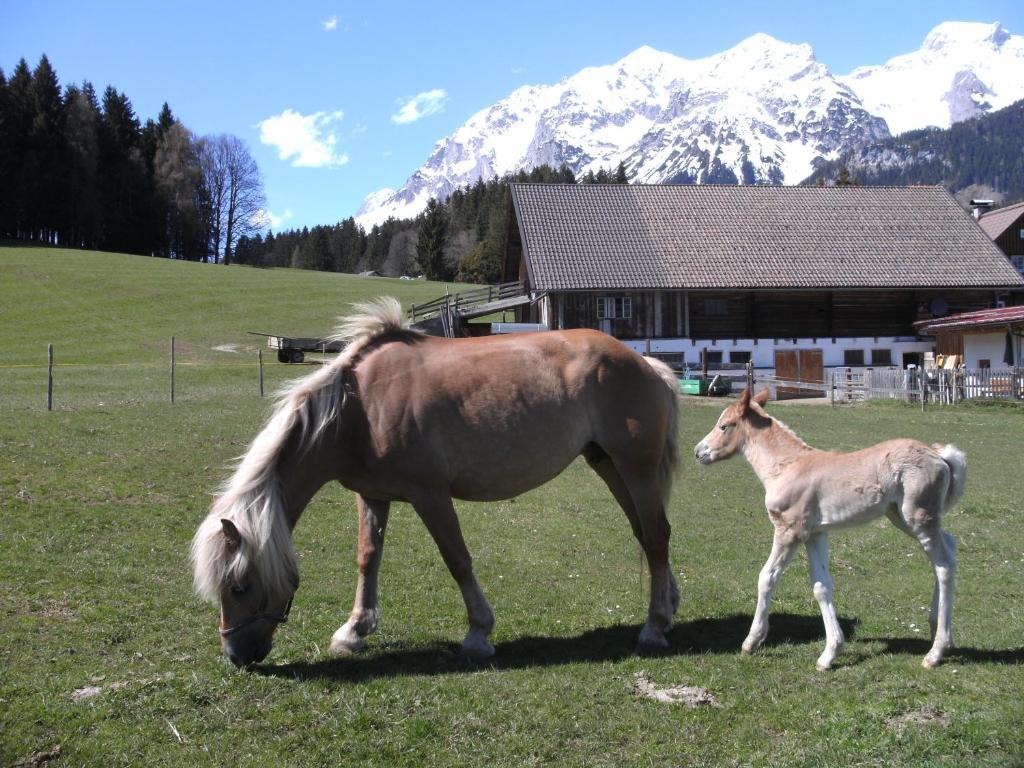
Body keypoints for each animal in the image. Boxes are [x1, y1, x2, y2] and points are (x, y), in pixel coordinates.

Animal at [195, 301, 684, 667]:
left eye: (239, 587)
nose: (236, 654)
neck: (358, 409)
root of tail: (644, 361)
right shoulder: (372, 495)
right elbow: (367, 559)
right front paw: (354, 631)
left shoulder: (430, 495)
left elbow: (458, 560)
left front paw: (478, 634)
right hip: (609, 465)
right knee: (646, 533)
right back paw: (668, 607)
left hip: (635, 467)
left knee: (657, 535)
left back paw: (653, 627)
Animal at [692, 387, 962, 671]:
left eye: (724, 425)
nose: (698, 452)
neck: (786, 467)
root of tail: (940, 455)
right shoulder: (815, 534)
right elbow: (821, 586)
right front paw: (830, 653)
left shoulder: (789, 531)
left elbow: (767, 577)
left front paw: (751, 642)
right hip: (902, 517)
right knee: (949, 548)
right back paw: (938, 631)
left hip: (918, 517)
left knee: (944, 565)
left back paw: (936, 652)